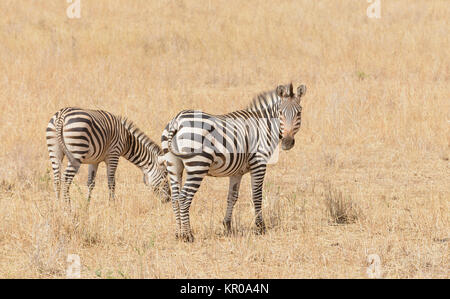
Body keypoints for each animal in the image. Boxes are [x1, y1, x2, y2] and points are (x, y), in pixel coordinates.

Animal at [160, 83, 308, 243]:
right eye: (280, 113)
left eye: (299, 113)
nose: (287, 143)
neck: (264, 125)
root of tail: (177, 120)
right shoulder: (259, 163)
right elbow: (257, 195)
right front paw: (260, 227)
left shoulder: (237, 172)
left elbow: (232, 197)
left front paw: (227, 226)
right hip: (198, 165)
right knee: (184, 197)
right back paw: (188, 235)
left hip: (173, 165)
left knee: (175, 198)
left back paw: (178, 234)